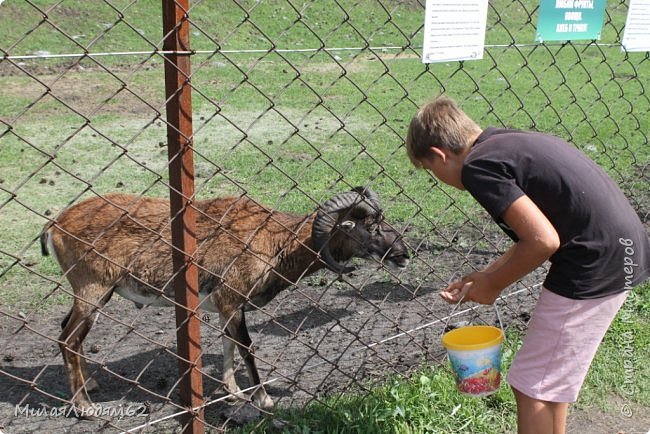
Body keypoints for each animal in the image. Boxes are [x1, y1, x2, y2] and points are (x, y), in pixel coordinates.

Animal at [40, 187, 408, 414]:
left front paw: (233, 393)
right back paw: (85, 407)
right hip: (92, 292)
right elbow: (246, 347)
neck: (273, 242)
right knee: (68, 339)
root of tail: (55, 224)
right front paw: (263, 399)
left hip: (91, 297)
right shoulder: (232, 302)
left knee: (69, 334)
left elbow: (229, 345)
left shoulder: (225, 307)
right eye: (370, 227)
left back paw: (91, 384)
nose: (403, 255)